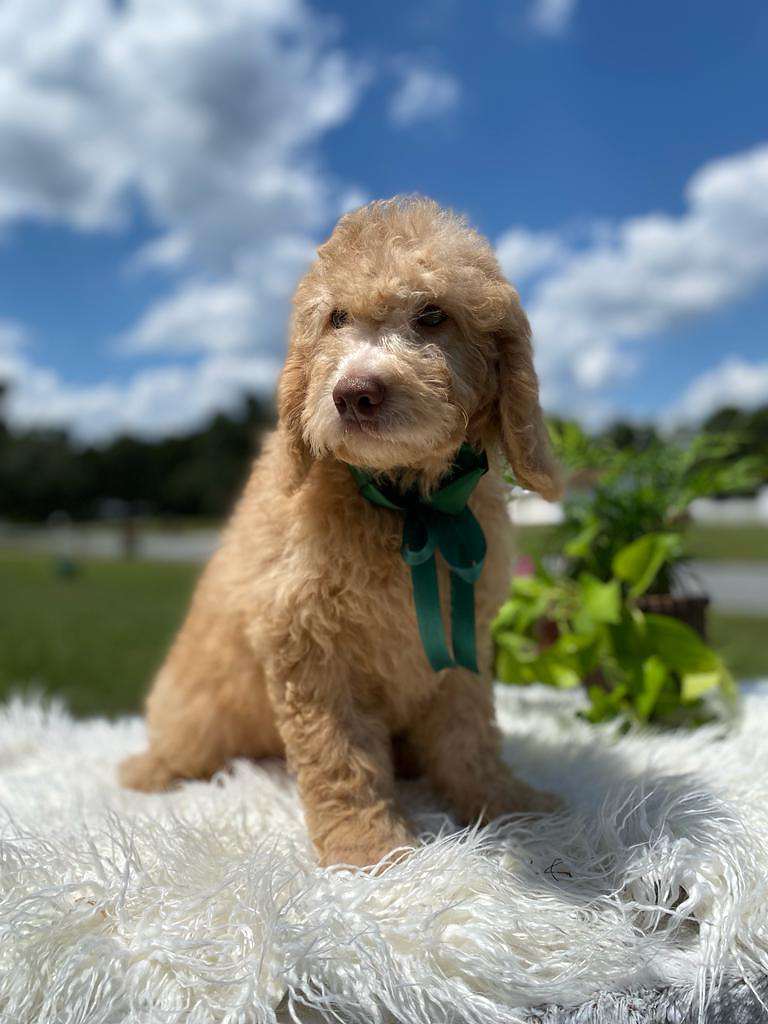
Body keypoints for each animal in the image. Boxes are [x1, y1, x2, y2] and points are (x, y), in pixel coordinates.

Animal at [120, 196, 563, 868]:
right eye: (336, 319)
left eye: (433, 315)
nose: (354, 393)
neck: (405, 506)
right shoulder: (307, 646)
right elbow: (340, 754)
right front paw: (369, 849)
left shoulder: (465, 639)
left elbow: (469, 731)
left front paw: (503, 801)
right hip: (191, 709)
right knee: (179, 746)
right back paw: (149, 771)